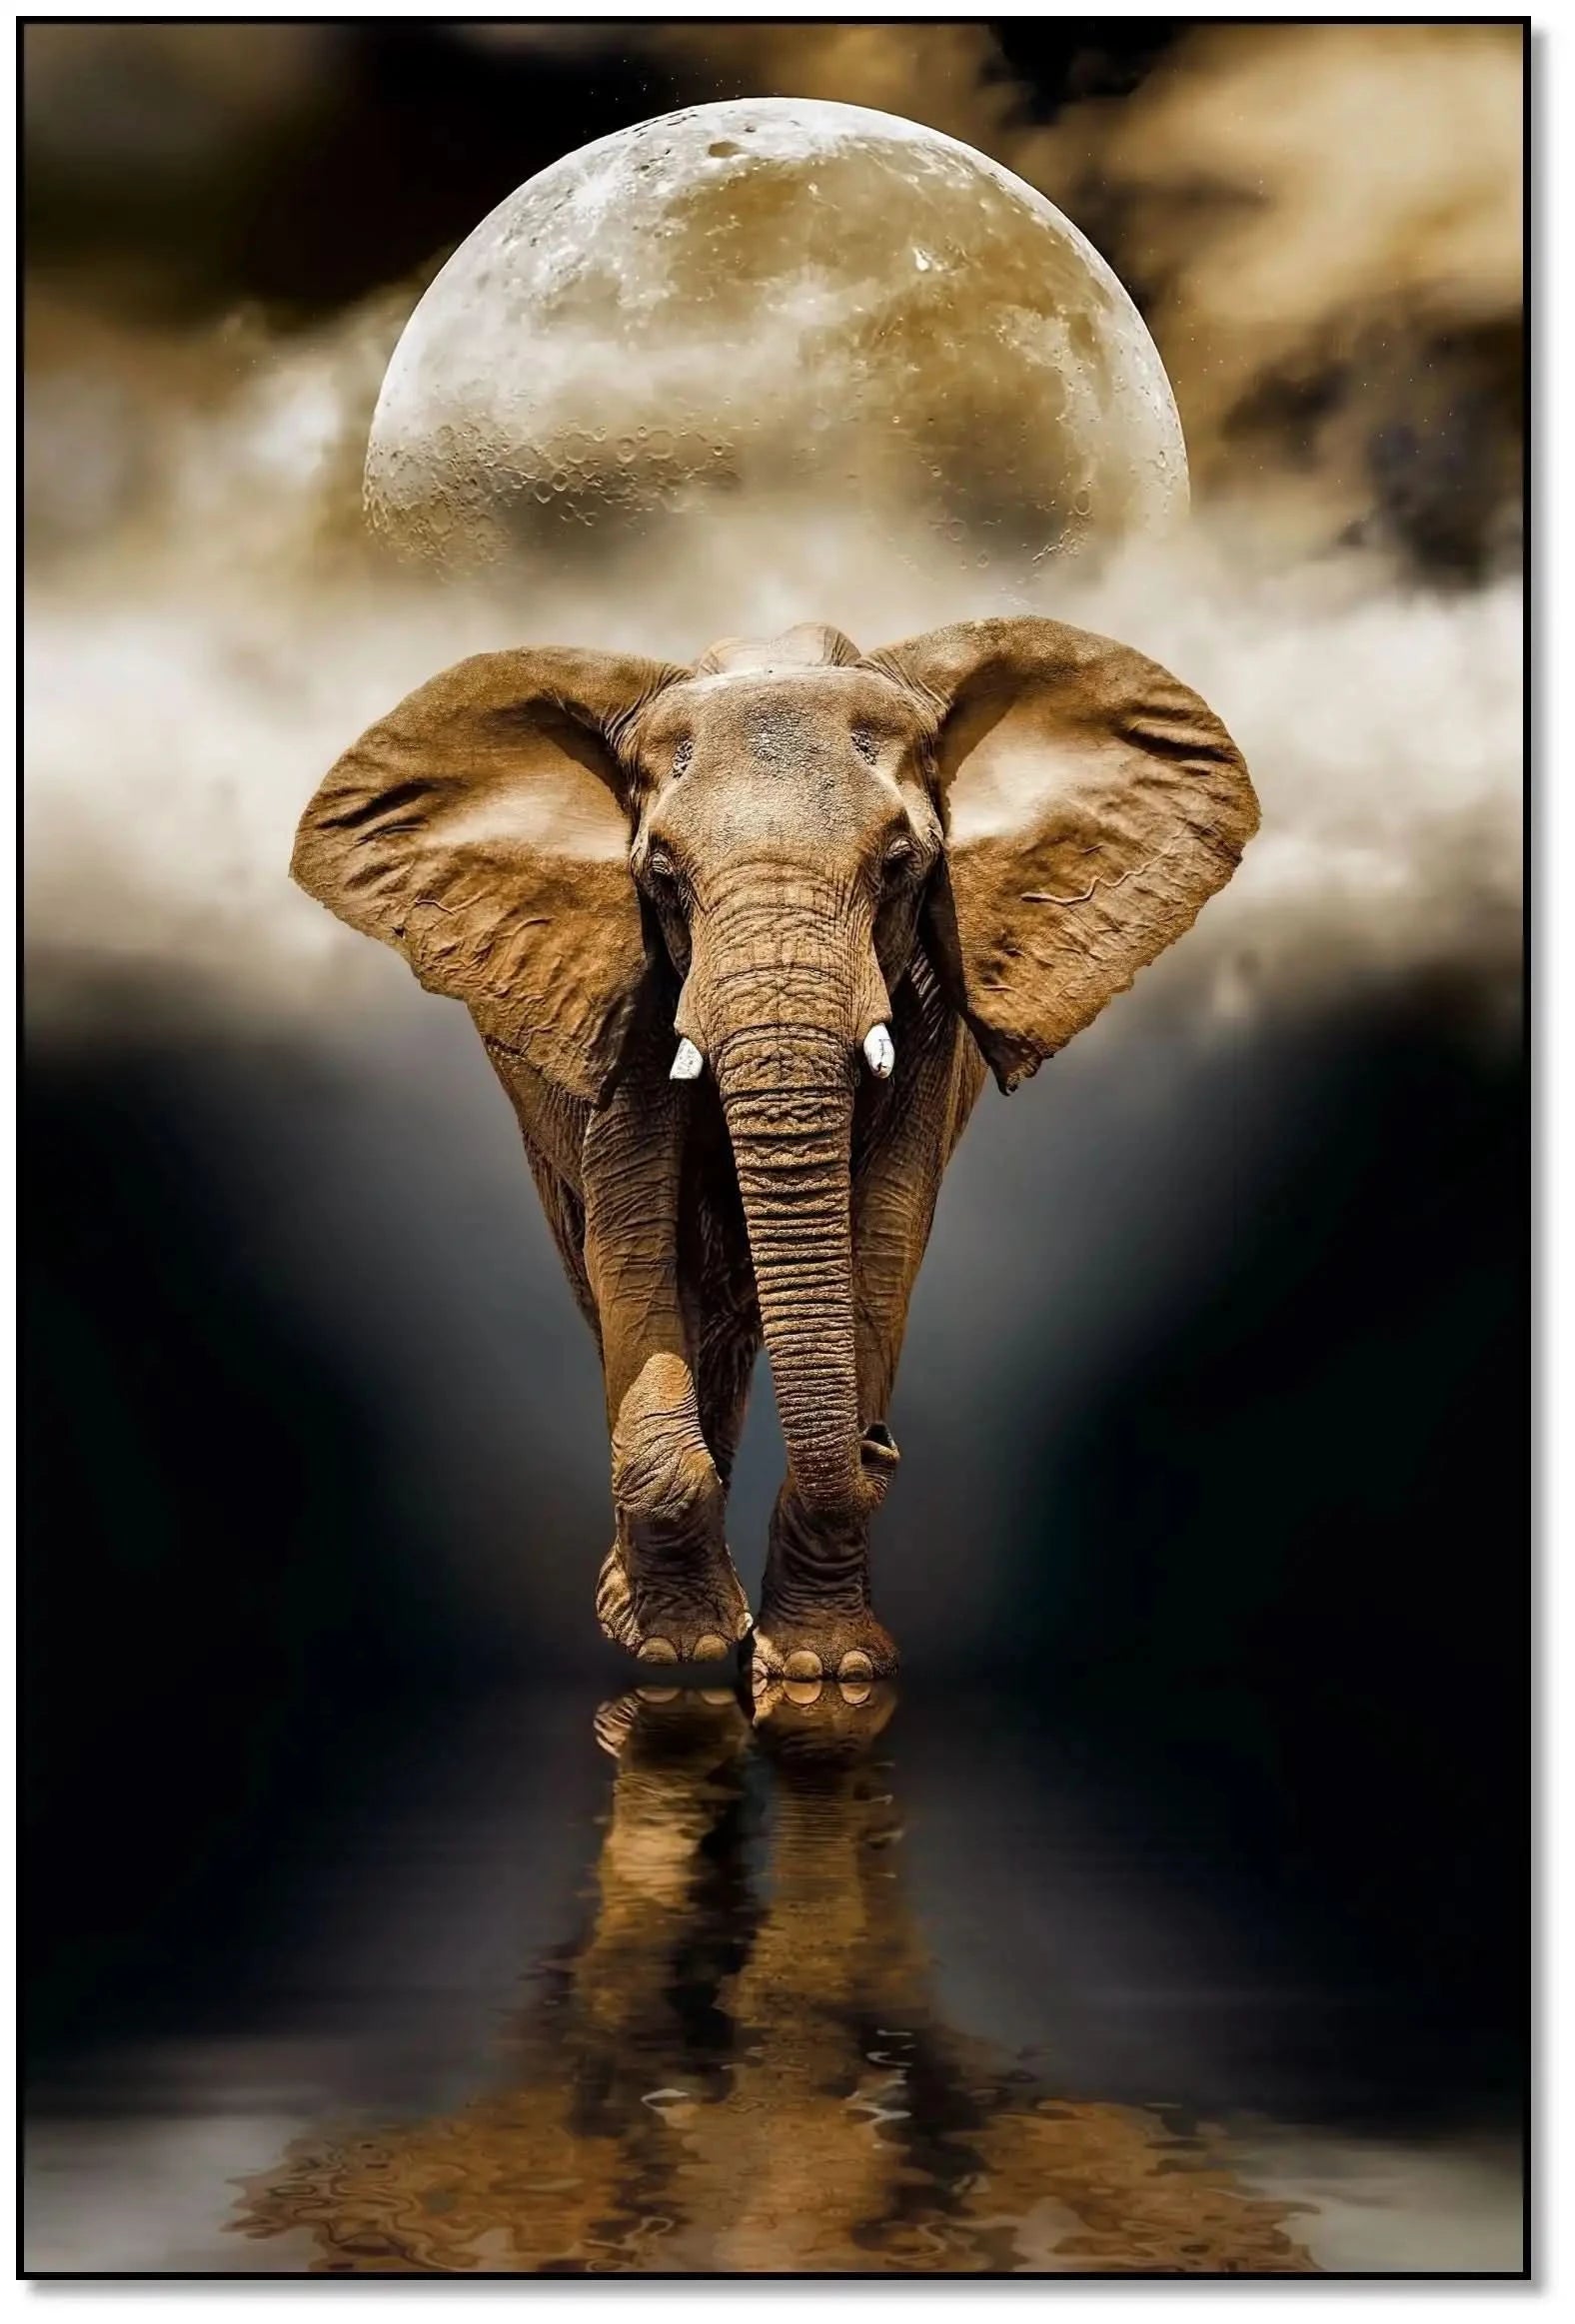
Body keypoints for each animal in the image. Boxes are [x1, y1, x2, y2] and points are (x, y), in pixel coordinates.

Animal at [292, 615, 1257, 1680]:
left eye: (899, 866)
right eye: (661, 875)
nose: (881, 1443)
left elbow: (883, 1233)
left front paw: (820, 1673)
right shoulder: (632, 985)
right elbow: (633, 1234)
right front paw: (681, 1654)